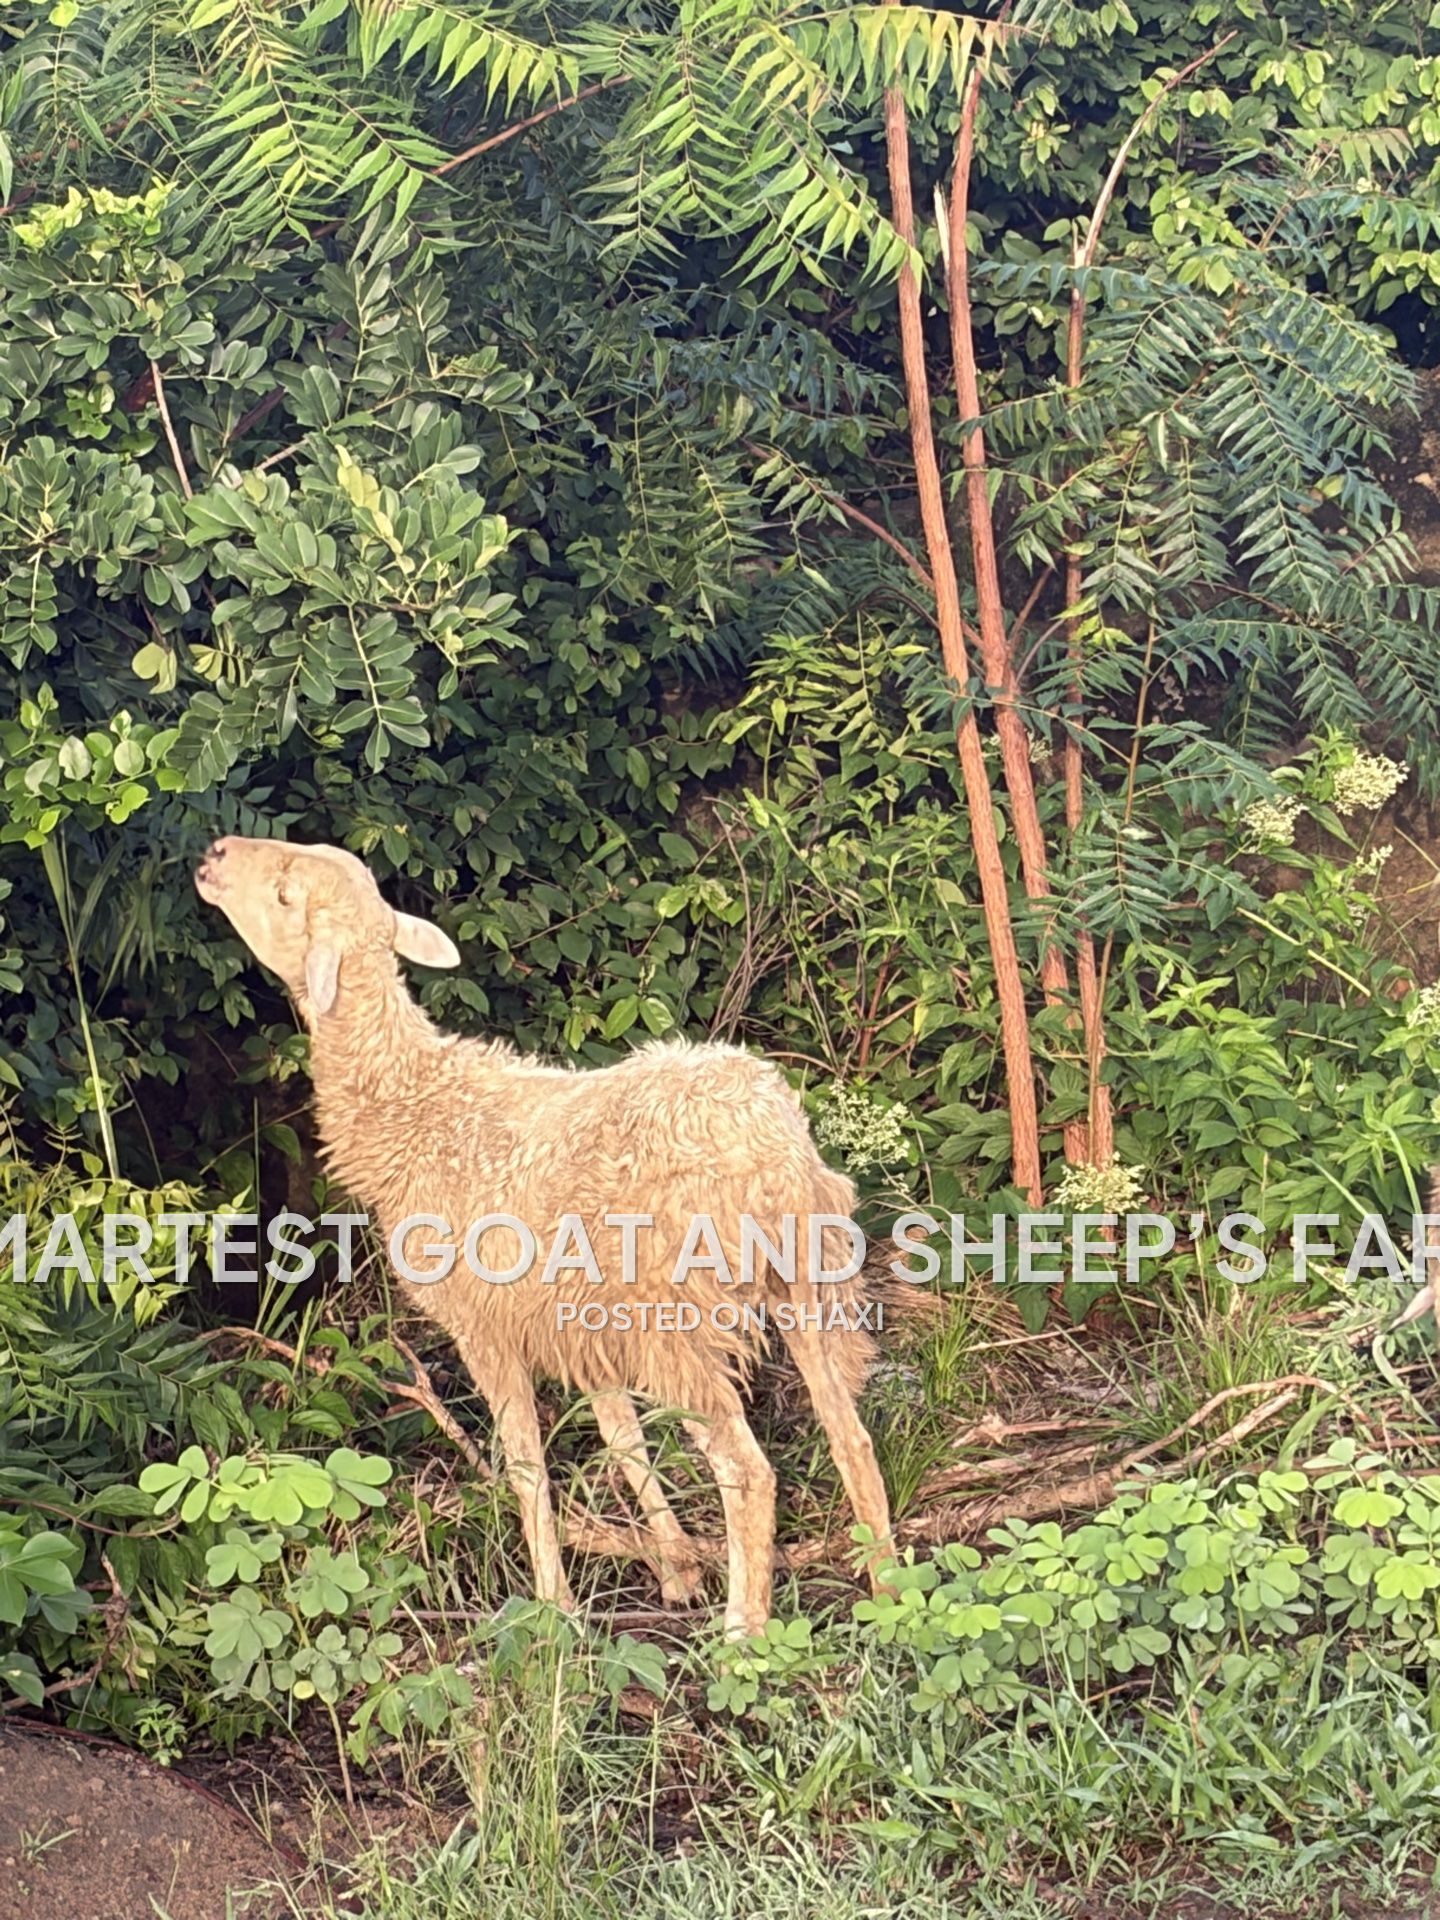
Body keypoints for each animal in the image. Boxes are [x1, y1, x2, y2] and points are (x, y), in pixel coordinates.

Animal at [195, 834, 894, 1637]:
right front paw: (677, 1568)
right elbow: (625, 1441)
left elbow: (528, 1462)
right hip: (805, 1283)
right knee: (850, 1434)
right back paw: (889, 1589)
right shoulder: (578, 1326)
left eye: (284, 895)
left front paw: (553, 1611)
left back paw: (743, 1631)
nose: (216, 851)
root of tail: (774, 1153)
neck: (416, 1108)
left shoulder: (484, 1326)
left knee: (747, 1471)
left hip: (681, 1323)